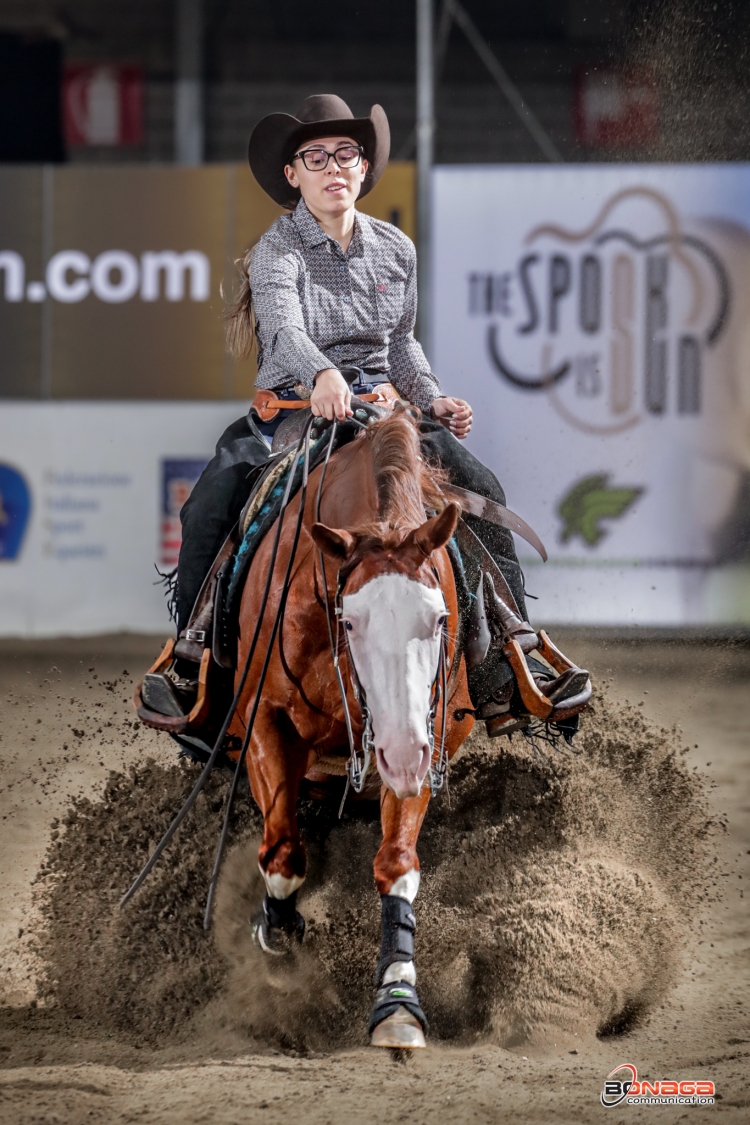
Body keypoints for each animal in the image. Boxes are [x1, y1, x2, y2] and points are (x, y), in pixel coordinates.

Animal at [231, 409, 472, 1048]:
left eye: (439, 618)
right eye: (351, 620)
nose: (403, 756)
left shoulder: (419, 737)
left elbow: (396, 864)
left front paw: (397, 1004)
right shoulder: (264, 718)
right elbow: (283, 851)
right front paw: (279, 937)